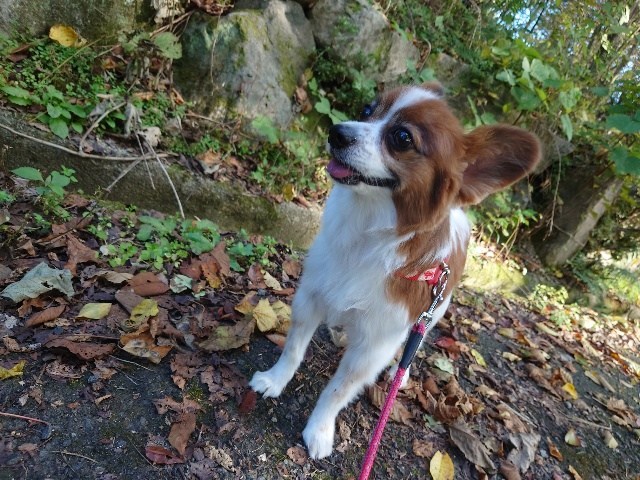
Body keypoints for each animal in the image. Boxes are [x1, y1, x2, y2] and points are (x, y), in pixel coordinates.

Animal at [250, 81, 540, 458]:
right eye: (367, 110)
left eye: (402, 138)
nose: (336, 132)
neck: (367, 236)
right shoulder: (311, 296)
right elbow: (293, 349)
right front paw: (275, 380)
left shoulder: (374, 346)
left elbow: (338, 391)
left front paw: (320, 430)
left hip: (432, 314)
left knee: (412, 345)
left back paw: (399, 373)